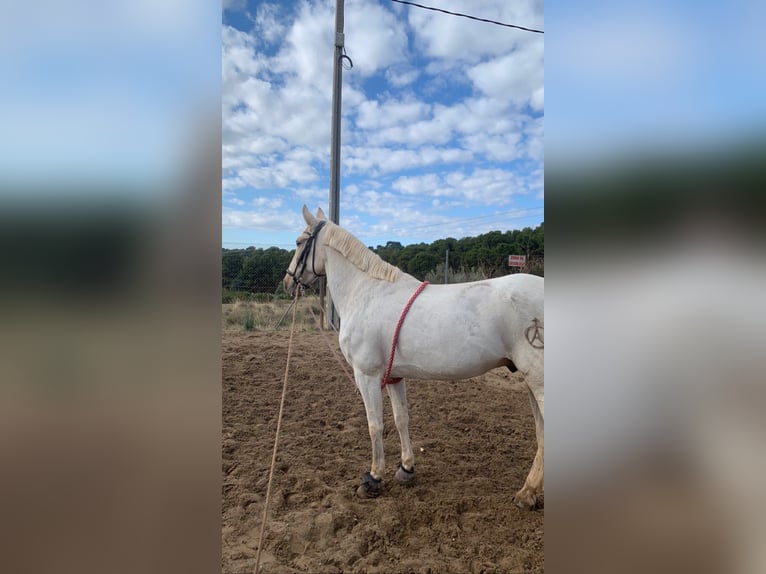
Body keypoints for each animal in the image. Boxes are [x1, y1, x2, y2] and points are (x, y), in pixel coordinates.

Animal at [284, 206, 544, 509]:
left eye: (298, 242)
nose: (287, 281)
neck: (366, 292)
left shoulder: (367, 376)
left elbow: (375, 425)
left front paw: (373, 478)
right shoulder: (395, 376)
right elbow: (401, 419)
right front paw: (406, 468)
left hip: (538, 380)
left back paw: (527, 494)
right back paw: (529, 492)